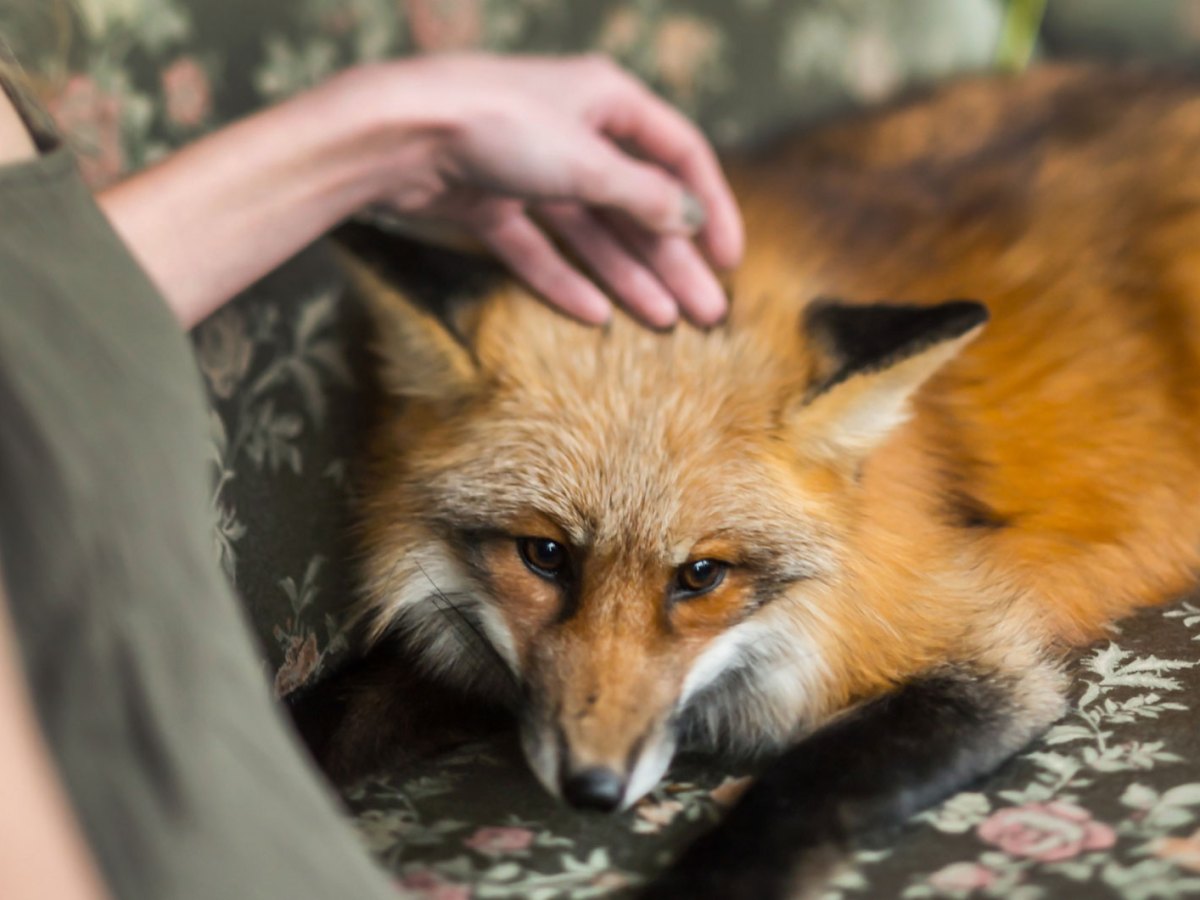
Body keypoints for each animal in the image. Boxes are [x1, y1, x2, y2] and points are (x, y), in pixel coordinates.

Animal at [288, 65, 1200, 900]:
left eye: (702, 575)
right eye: (544, 555)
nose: (593, 790)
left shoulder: (981, 650)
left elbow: (797, 789)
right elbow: (331, 709)